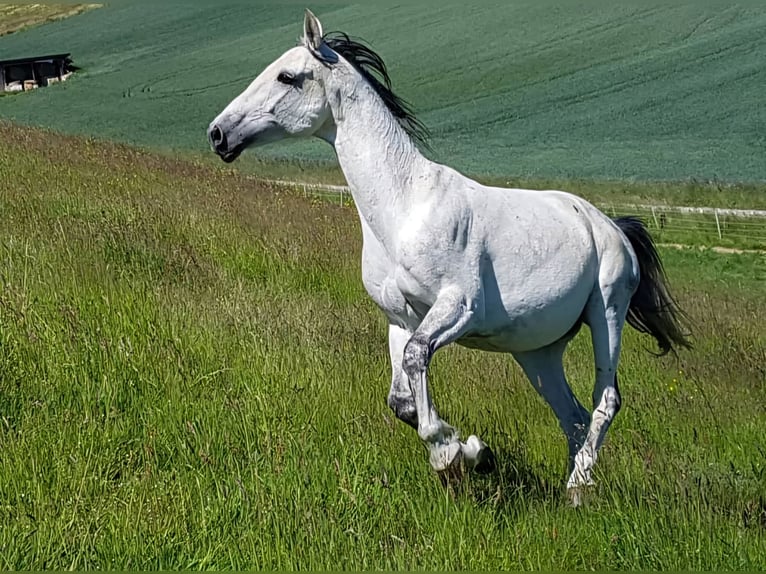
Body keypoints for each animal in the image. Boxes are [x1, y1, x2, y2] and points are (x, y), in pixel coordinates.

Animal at [207, 9, 692, 504]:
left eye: (287, 76)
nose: (218, 133)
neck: (405, 208)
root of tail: (613, 226)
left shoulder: (458, 307)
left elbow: (418, 358)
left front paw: (452, 456)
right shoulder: (400, 318)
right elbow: (401, 398)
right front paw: (475, 452)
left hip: (606, 312)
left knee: (604, 401)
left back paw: (578, 485)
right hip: (537, 352)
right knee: (571, 415)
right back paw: (573, 490)